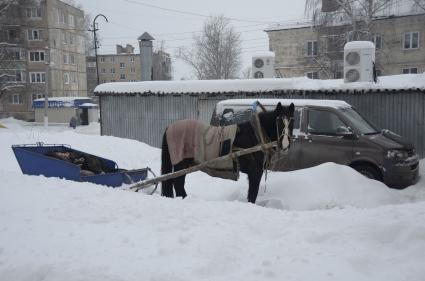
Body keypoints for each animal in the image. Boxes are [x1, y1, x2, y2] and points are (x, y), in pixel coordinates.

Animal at [160, 101, 294, 202]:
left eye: (292, 121)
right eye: (278, 121)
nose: (285, 145)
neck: (256, 134)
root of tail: (170, 127)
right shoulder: (255, 172)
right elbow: (252, 194)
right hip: (180, 163)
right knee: (178, 182)